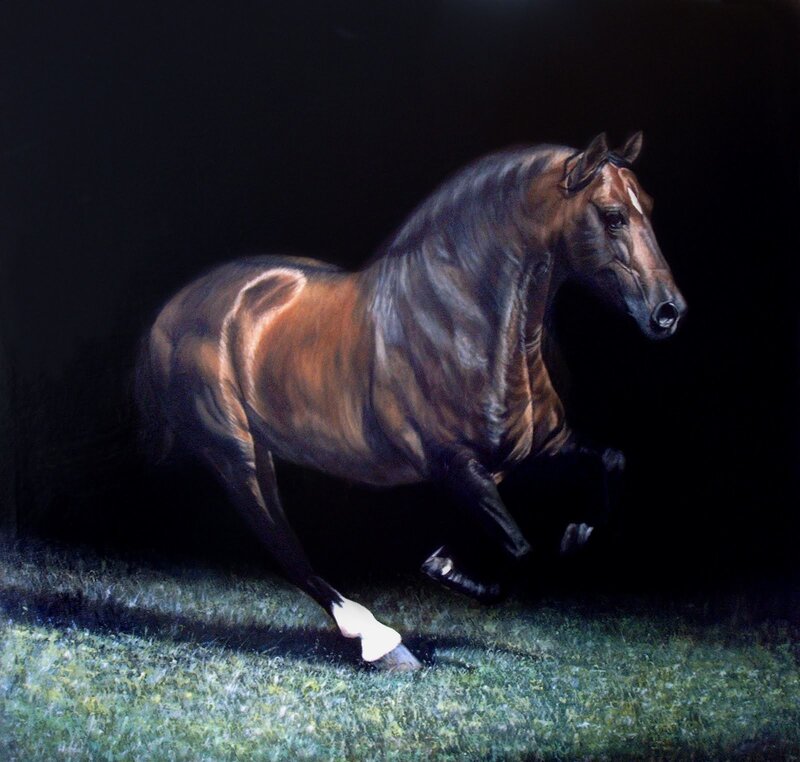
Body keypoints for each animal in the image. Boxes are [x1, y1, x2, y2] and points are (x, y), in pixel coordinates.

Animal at [135, 132, 686, 671]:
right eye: (612, 215)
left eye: (648, 205)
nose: (669, 311)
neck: (466, 322)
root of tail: (173, 309)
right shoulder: (454, 465)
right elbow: (522, 551)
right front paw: (450, 571)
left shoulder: (542, 447)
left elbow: (610, 460)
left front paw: (575, 533)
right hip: (236, 453)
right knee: (282, 543)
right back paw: (379, 641)